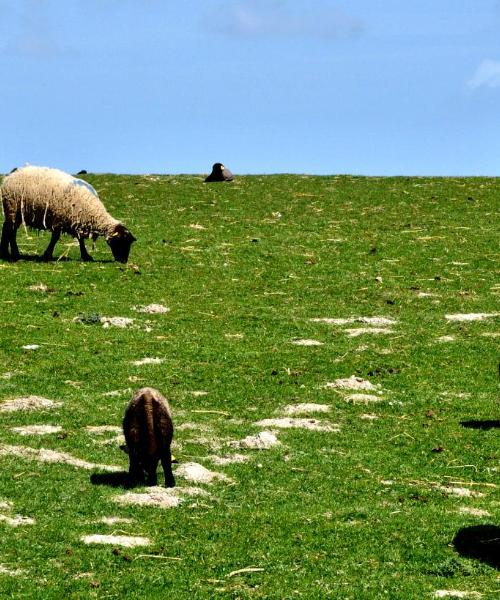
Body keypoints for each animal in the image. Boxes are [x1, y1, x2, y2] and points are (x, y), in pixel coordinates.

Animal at [0, 168, 136, 264]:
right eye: (121, 242)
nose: (124, 261)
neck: (92, 211)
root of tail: (10, 176)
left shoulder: (77, 221)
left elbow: (80, 240)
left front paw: (86, 256)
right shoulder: (59, 219)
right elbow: (55, 238)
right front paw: (47, 255)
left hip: (16, 212)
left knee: (9, 230)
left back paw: (8, 253)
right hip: (12, 208)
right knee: (9, 230)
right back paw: (12, 254)